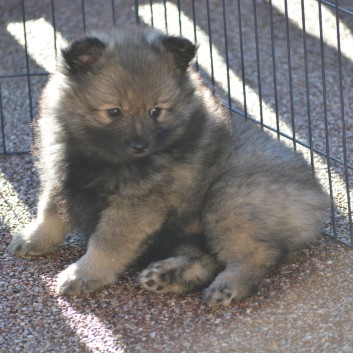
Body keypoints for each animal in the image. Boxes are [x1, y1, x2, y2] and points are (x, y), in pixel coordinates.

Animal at [6, 26, 328, 304]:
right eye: (114, 111)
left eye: (155, 111)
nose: (140, 146)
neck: (103, 158)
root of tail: (317, 197)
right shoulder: (62, 178)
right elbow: (50, 214)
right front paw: (33, 238)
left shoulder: (136, 205)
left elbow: (106, 243)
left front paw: (83, 274)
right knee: (205, 258)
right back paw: (167, 277)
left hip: (229, 200)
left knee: (259, 253)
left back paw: (229, 285)